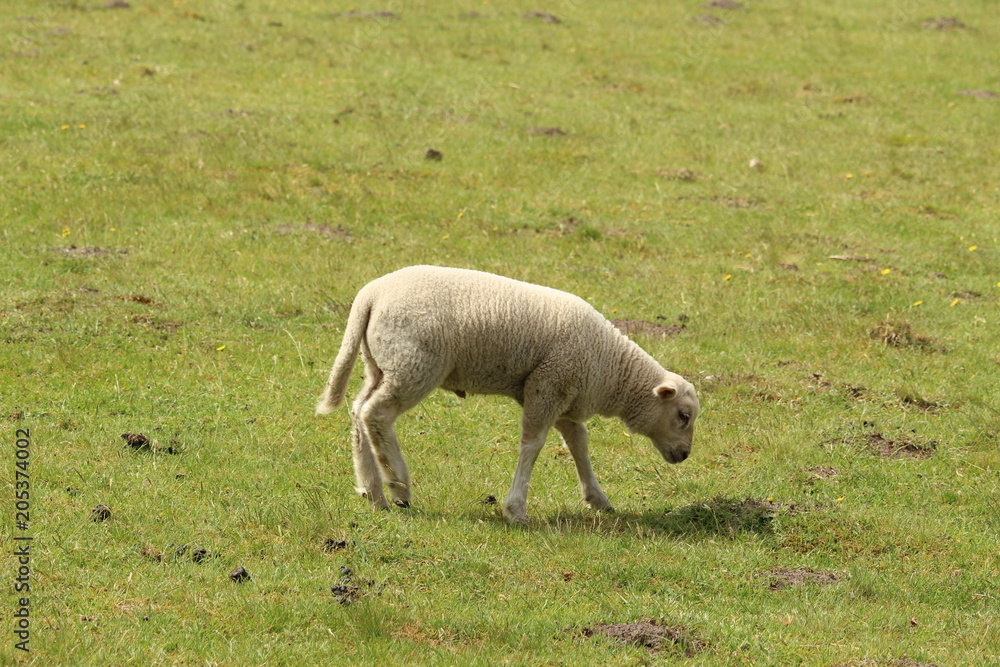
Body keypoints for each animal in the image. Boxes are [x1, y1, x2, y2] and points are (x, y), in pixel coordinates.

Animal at [316, 266, 700, 528]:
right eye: (683, 415)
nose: (684, 455)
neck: (610, 366)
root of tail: (370, 296)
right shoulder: (547, 386)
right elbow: (533, 445)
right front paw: (516, 509)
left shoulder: (563, 396)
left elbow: (578, 445)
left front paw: (597, 498)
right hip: (413, 364)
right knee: (376, 414)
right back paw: (397, 485)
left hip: (381, 365)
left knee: (358, 412)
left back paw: (372, 491)